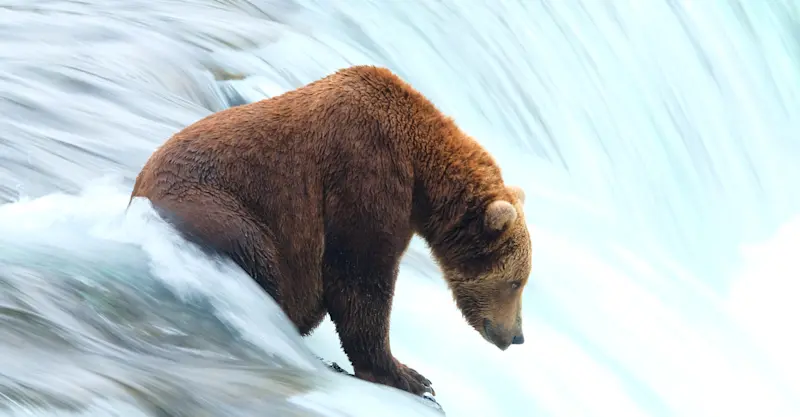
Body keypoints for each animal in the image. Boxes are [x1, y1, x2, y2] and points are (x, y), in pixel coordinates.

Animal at [129, 65, 532, 397]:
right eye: (516, 282)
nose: (517, 336)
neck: (421, 173)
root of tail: (135, 196)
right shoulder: (365, 171)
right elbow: (359, 275)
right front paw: (410, 376)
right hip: (220, 212)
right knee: (260, 261)